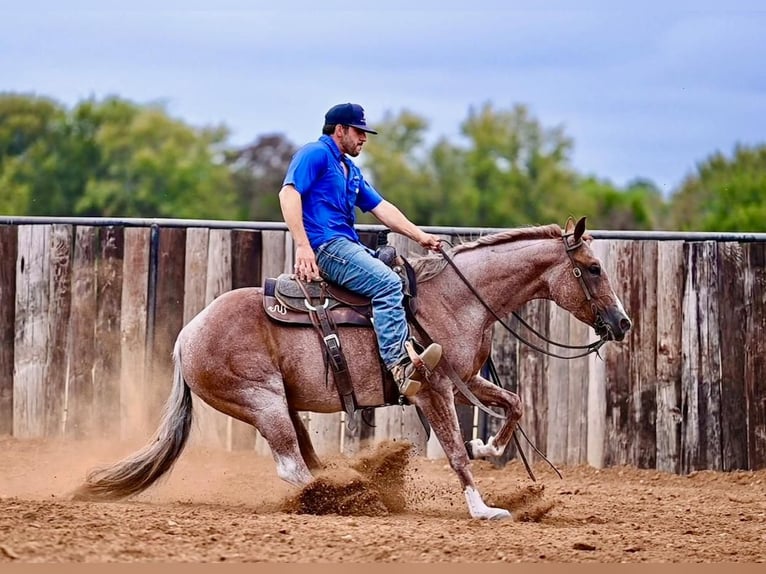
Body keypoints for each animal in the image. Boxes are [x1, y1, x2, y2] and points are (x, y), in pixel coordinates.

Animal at [75, 217, 632, 520]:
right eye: (593, 269)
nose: (622, 323)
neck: (454, 300)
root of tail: (186, 335)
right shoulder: (433, 388)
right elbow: (454, 452)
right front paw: (483, 508)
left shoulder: (466, 380)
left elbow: (513, 406)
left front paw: (488, 446)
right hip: (262, 402)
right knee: (291, 467)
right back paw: (342, 495)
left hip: (282, 405)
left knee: (302, 456)